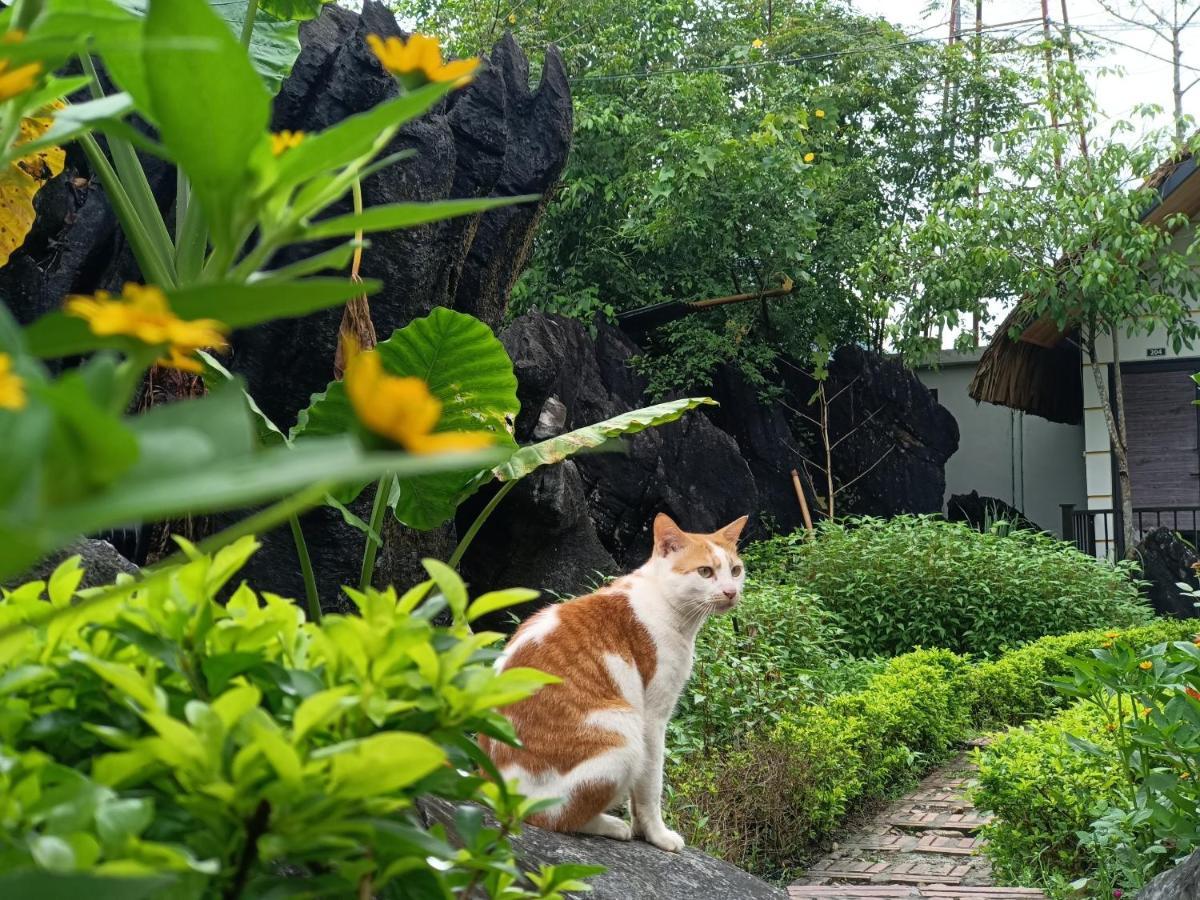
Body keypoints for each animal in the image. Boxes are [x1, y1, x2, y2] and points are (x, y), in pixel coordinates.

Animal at [475, 513, 739, 854]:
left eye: (735, 570)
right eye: (705, 572)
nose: (731, 591)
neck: (665, 604)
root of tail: (492, 785)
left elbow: (637, 797)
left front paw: (643, 830)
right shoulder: (653, 720)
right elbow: (650, 787)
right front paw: (657, 834)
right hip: (624, 733)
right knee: (552, 816)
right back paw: (611, 825)